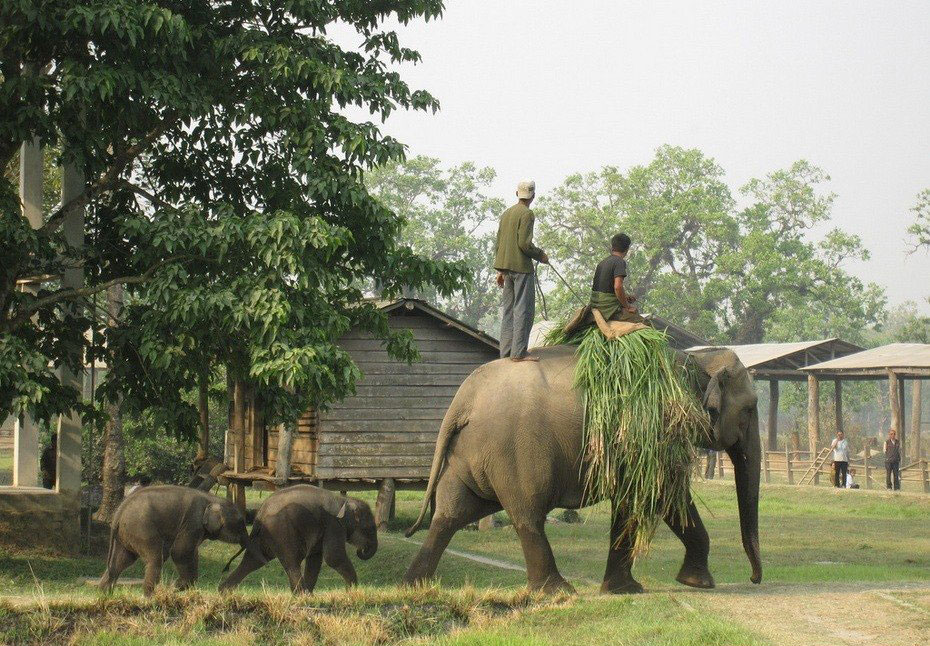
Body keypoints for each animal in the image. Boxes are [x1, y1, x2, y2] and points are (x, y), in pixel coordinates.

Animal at [98, 486, 262, 596]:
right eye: (241, 523)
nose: (225, 568)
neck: (212, 499)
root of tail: (118, 513)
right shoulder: (192, 522)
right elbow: (180, 552)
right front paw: (176, 587)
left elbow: (192, 553)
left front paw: (179, 587)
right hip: (141, 529)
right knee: (155, 558)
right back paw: (150, 597)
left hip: (126, 535)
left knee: (121, 561)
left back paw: (105, 595)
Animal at [218, 486, 376, 596]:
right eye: (368, 528)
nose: (361, 550)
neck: (344, 500)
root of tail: (260, 513)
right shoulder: (334, 524)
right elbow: (334, 557)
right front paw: (353, 591)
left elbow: (315, 559)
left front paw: (312, 595)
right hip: (282, 531)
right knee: (291, 561)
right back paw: (300, 595)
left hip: (265, 536)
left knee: (253, 560)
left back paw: (223, 592)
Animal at [402, 346, 756, 596]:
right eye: (750, 409)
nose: (754, 578)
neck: (696, 356)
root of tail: (463, 400)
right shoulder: (653, 430)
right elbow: (663, 494)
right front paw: (697, 584)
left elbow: (634, 500)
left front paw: (625, 589)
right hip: (511, 452)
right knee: (527, 515)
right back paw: (558, 592)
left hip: (468, 455)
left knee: (452, 513)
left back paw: (414, 585)